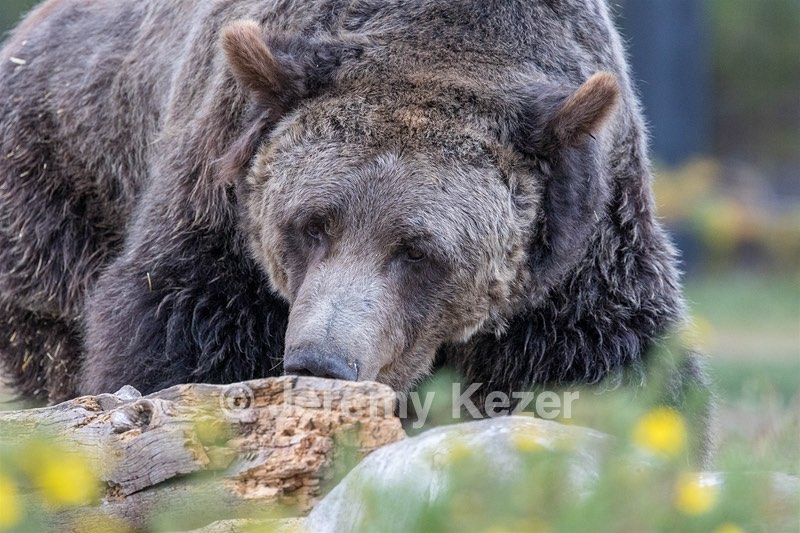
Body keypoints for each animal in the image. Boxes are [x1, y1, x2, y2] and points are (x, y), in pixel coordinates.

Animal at [0, 0, 711, 455]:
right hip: (61, 177)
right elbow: (180, 331)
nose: (321, 362)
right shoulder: (220, 191)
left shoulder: (579, 247)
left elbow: (606, 359)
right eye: (309, 225)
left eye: (419, 251)